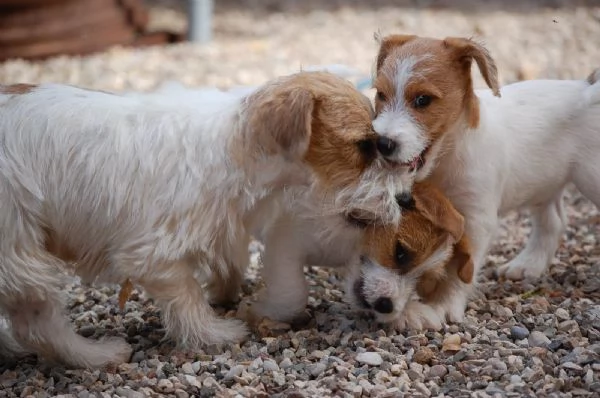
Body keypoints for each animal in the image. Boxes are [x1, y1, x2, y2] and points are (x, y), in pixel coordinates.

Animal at [0, 70, 408, 366]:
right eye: (365, 145)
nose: (404, 198)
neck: (235, 144)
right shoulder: (153, 255)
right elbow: (188, 297)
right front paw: (215, 333)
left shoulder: (224, 227)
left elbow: (229, 262)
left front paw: (227, 294)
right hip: (20, 252)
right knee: (38, 323)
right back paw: (96, 355)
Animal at [368, 33, 600, 326]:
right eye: (380, 95)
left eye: (422, 100)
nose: (382, 143)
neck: (445, 159)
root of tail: (586, 89)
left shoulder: (476, 221)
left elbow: (460, 271)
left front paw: (443, 305)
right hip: (543, 183)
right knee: (553, 222)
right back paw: (527, 265)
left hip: (591, 177)